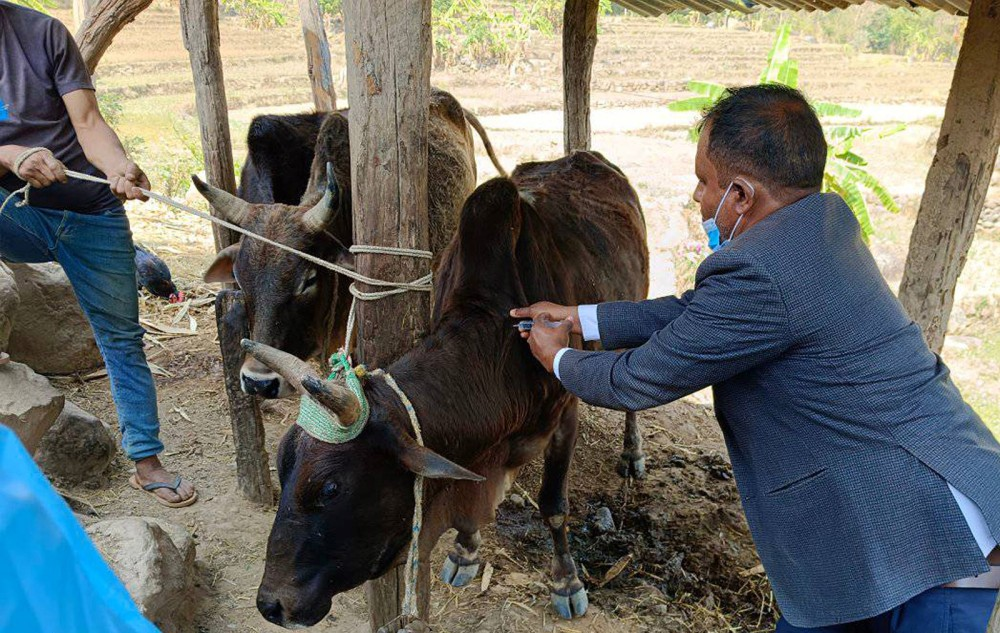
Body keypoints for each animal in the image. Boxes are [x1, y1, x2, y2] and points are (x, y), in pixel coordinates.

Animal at [242, 151, 648, 628]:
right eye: (282, 466)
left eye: (330, 489)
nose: (272, 604)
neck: (498, 338)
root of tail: (585, 157)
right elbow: (470, 510)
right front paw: (466, 552)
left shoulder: (564, 416)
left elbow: (553, 506)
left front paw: (566, 582)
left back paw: (632, 454)